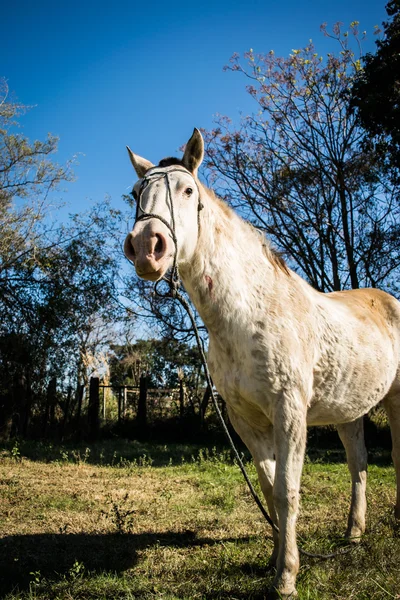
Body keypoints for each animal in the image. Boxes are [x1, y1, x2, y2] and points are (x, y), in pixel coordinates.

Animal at [124, 129, 400, 596]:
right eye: (135, 193)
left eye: (187, 191)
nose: (147, 247)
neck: (250, 312)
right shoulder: (246, 420)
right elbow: (270, 490)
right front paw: (274, 560)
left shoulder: (289, 412)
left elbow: (288, 491)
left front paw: (286, 578)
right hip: (348, 413)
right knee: (358, 464)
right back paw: (354, 534)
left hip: (396, 401)